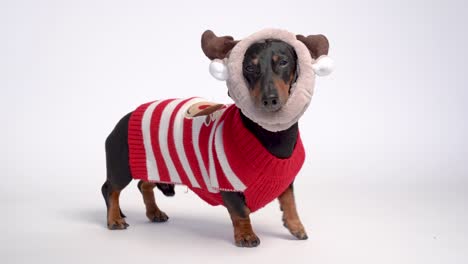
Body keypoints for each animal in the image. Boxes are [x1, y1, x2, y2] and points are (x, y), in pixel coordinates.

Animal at [102, 28, 330, 248]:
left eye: (283, 62)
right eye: (249, 67)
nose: (270, 100)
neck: (270, 135)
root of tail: (127, 116)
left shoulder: (286, 181)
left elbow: (290, 201)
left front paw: (296, 227)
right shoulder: (227, 183)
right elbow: (241, 211)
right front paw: (246, 235)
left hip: (155, 167)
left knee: (144, 185)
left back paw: (154, 213)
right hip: (122, 168)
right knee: (110, 189)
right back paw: (114, 219)